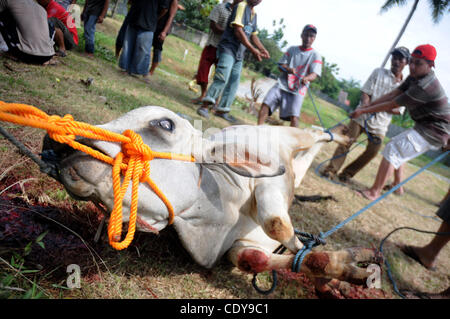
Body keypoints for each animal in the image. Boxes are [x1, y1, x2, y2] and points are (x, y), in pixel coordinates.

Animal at [40, 106, 382, 294]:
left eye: (164, 124)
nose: (57, 145)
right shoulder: (237, 247)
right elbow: (253, 259)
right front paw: (331, 270)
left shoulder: (271, 178)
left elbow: (277, 224)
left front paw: (335, 266)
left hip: (292, 137)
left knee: (316, 133)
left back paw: (344, 134)